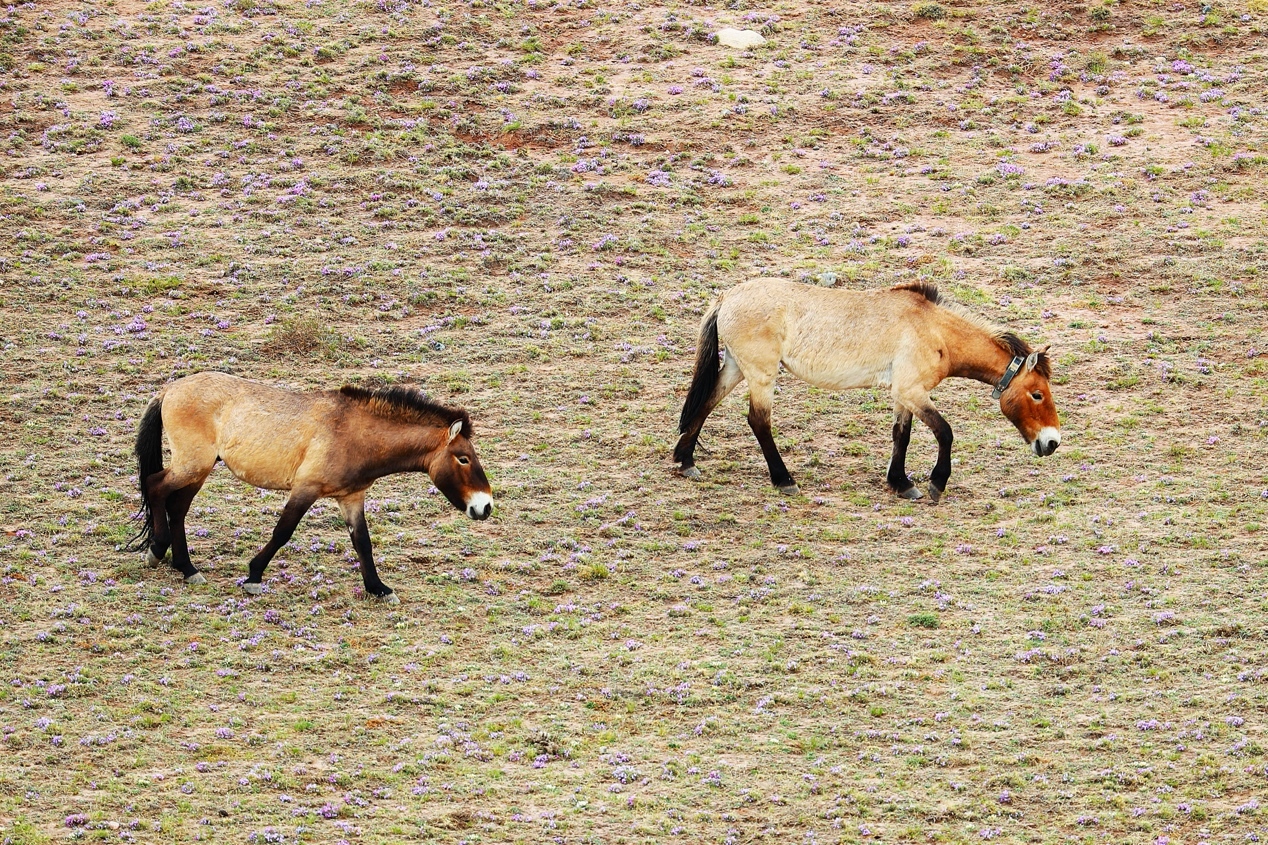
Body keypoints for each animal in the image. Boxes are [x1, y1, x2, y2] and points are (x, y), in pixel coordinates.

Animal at [127, 372, 493, 603]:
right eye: (463, 458)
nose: (485, 506)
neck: (355, 432)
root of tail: (169, 390)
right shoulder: (306, 489)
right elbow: (282, 532)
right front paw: (254, 577)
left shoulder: (351, 498)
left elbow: (363, 543)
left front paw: (378, 588)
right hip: (193, 465)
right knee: (156, 487)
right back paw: (158, 551)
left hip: (199, 470)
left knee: (177, 507)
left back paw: (186, 568)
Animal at [674, 279, 1061, 502]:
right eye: (1037, 394)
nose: (1052, 442)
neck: (934, 330)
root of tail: (727, 297)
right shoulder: (913, 391)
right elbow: (945, 431)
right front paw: (936, 484)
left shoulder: (903, 395)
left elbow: (901, 435)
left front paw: (901, 484)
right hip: (761, 375)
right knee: (758, 422)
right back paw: (784, 480)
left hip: (738, 368)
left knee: (706, 402)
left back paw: (686, 461)